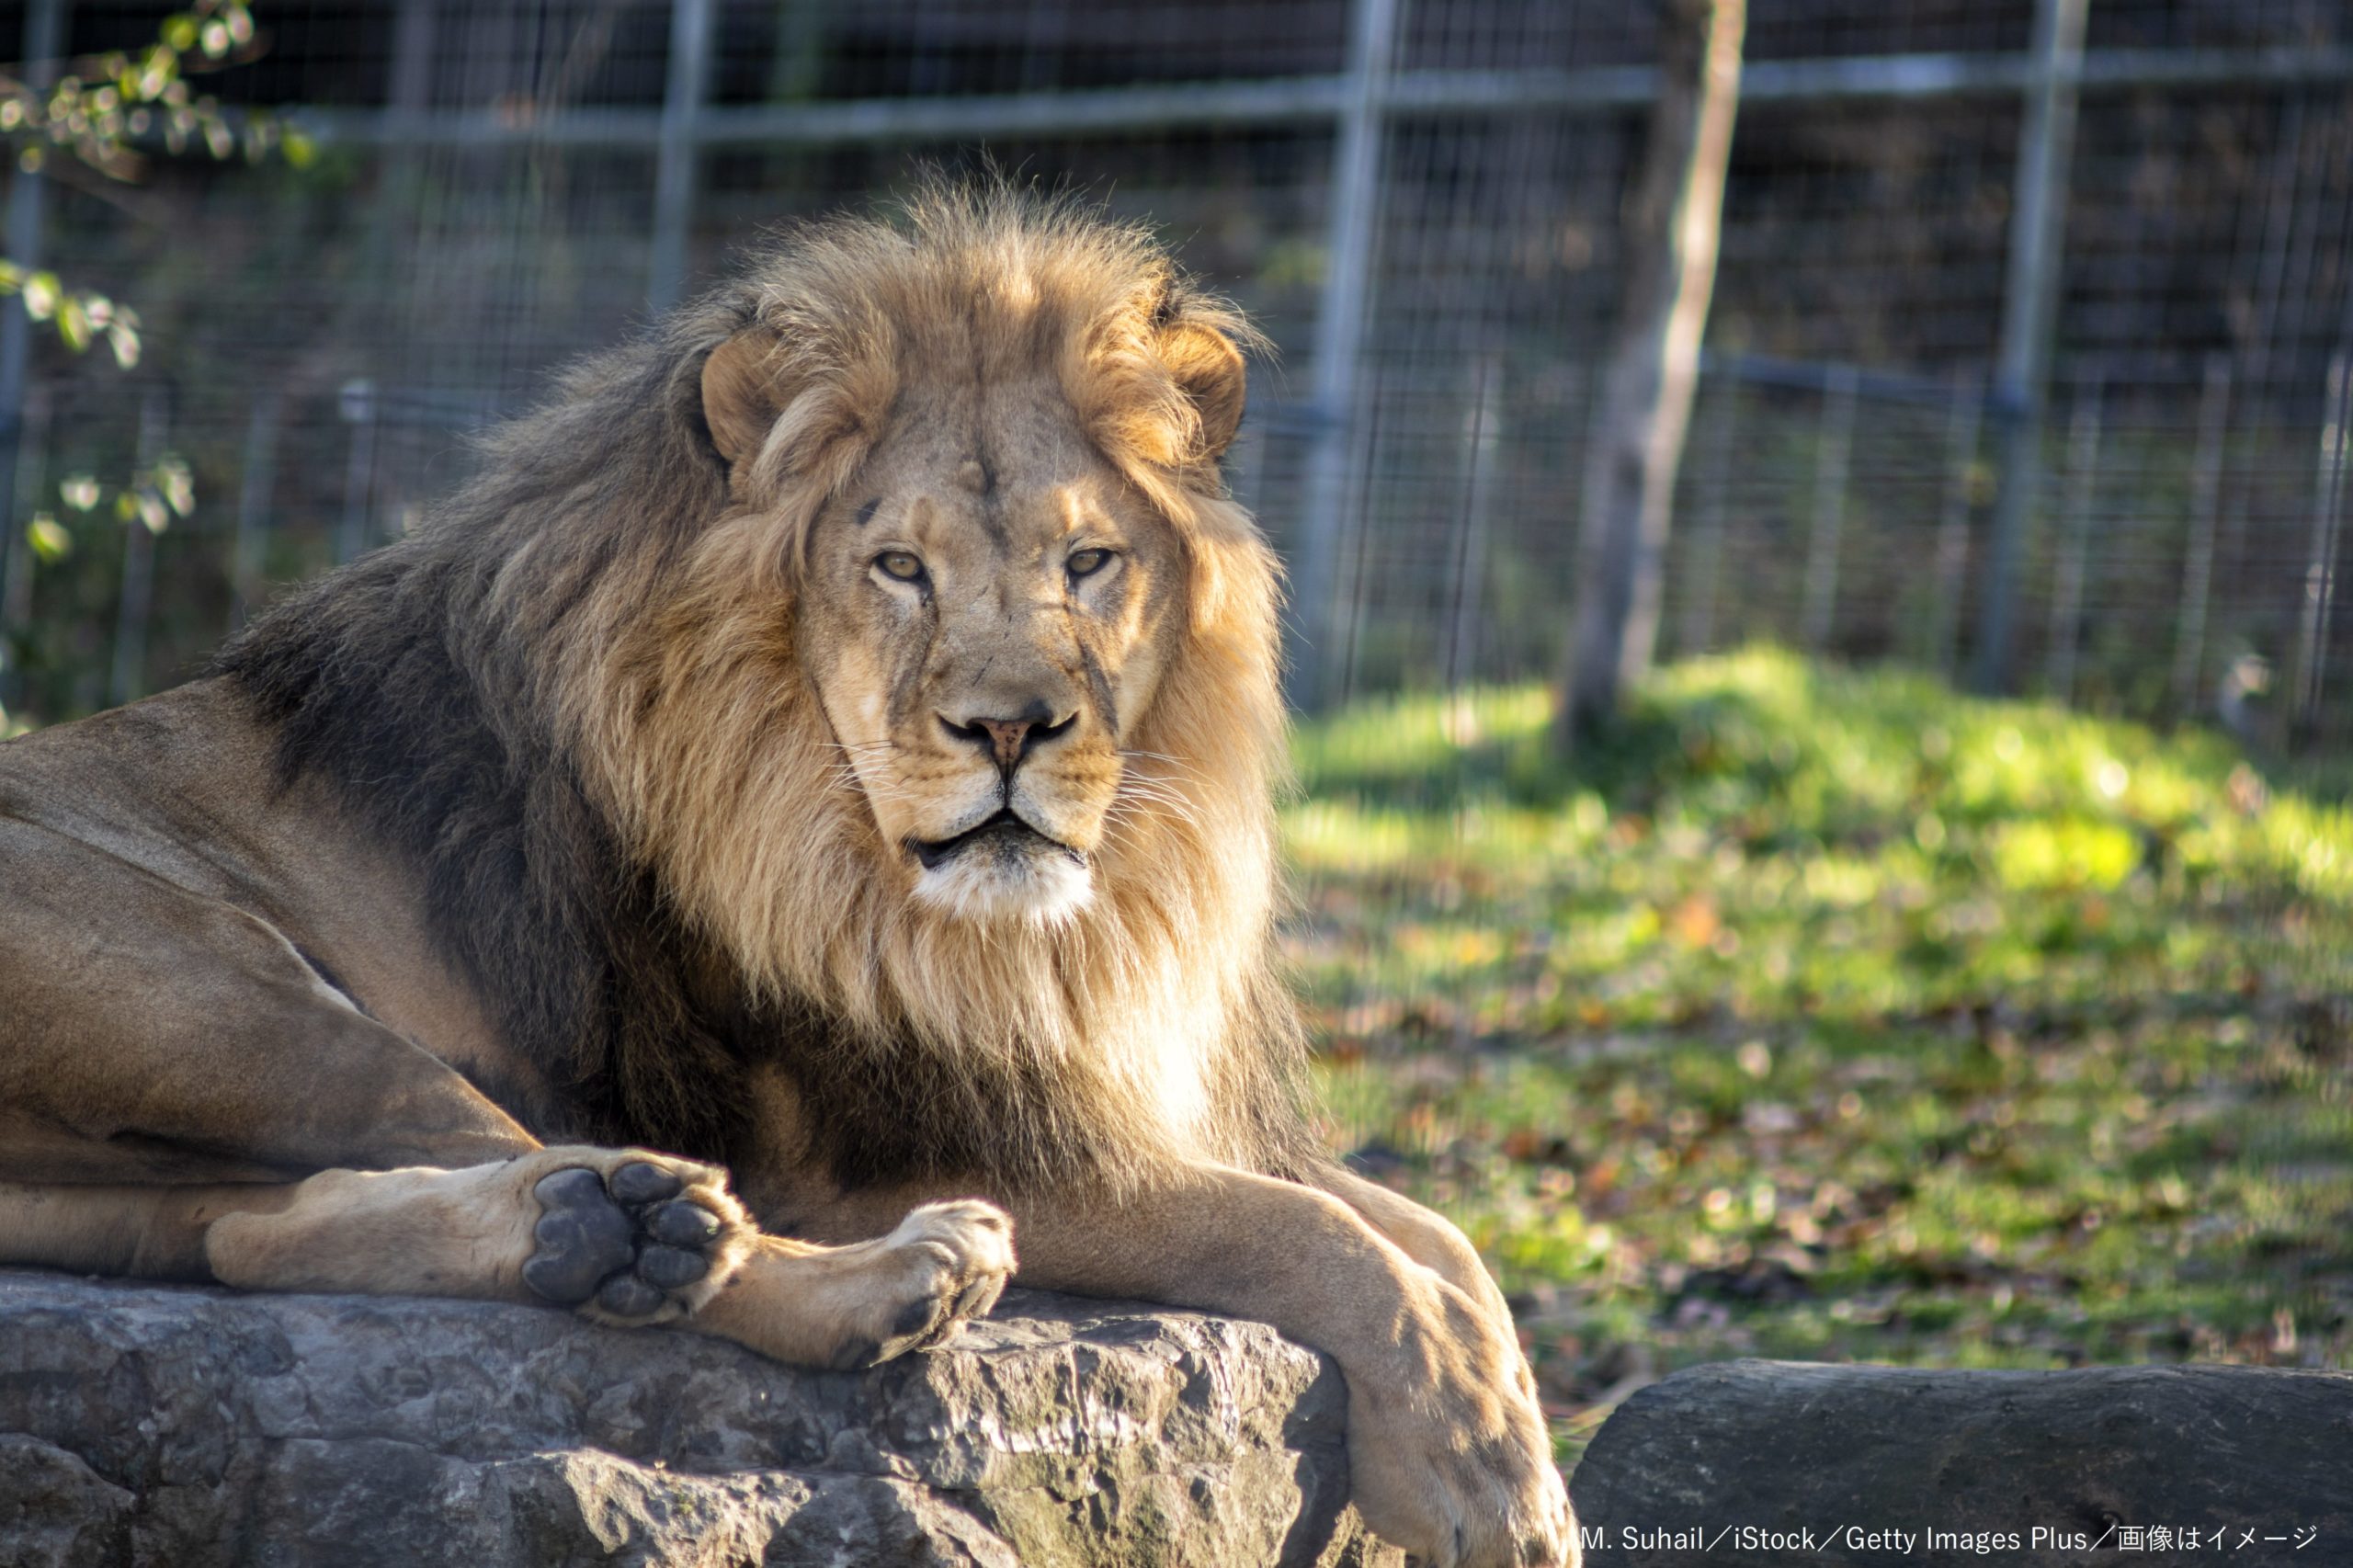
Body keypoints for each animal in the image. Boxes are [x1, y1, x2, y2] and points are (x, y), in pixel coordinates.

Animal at [9, 186, 1581, 1562]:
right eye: (898, 567)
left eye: (1087, 561)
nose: (1011, 727)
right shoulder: (886, 1140)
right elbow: (1320, 1236)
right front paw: (1481, 1480)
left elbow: (1436, 1236)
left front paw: (1514, 1438)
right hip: (243, 1002)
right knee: (548, 1187)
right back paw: (861, 1273)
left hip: (150, 1166)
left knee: (256, 1231)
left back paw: (603, 1236)